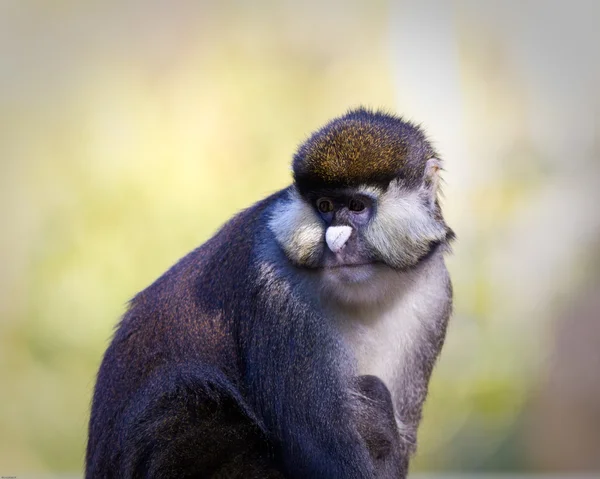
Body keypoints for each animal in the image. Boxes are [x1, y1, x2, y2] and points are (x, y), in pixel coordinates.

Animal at [84, 109, 452, 479]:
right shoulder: (277, 290)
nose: (335, 244)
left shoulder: (435, 296)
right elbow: (317, 444)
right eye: (324, 205)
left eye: (357, 206)